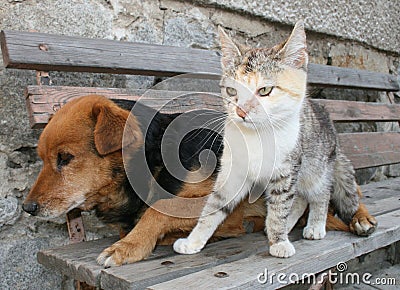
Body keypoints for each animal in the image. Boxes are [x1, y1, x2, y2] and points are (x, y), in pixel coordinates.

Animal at [22, 95, 378, 268]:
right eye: (41, 158)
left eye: (65, 158)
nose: (27, 208)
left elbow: (158, 210)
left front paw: (128, 247)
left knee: (345, 193)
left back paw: (359, 218)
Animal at [173, 21, 368, 258]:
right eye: (231, 90)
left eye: (265, 90)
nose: (240, 112)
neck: (256, 136)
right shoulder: (233, 171)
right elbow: (215, 205)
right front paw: (193, 240)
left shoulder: (287, 170)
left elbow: (279, 206)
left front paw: (279, 242)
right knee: (300, 199)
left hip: (317, 166)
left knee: (319, 193)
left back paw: (314, 225)